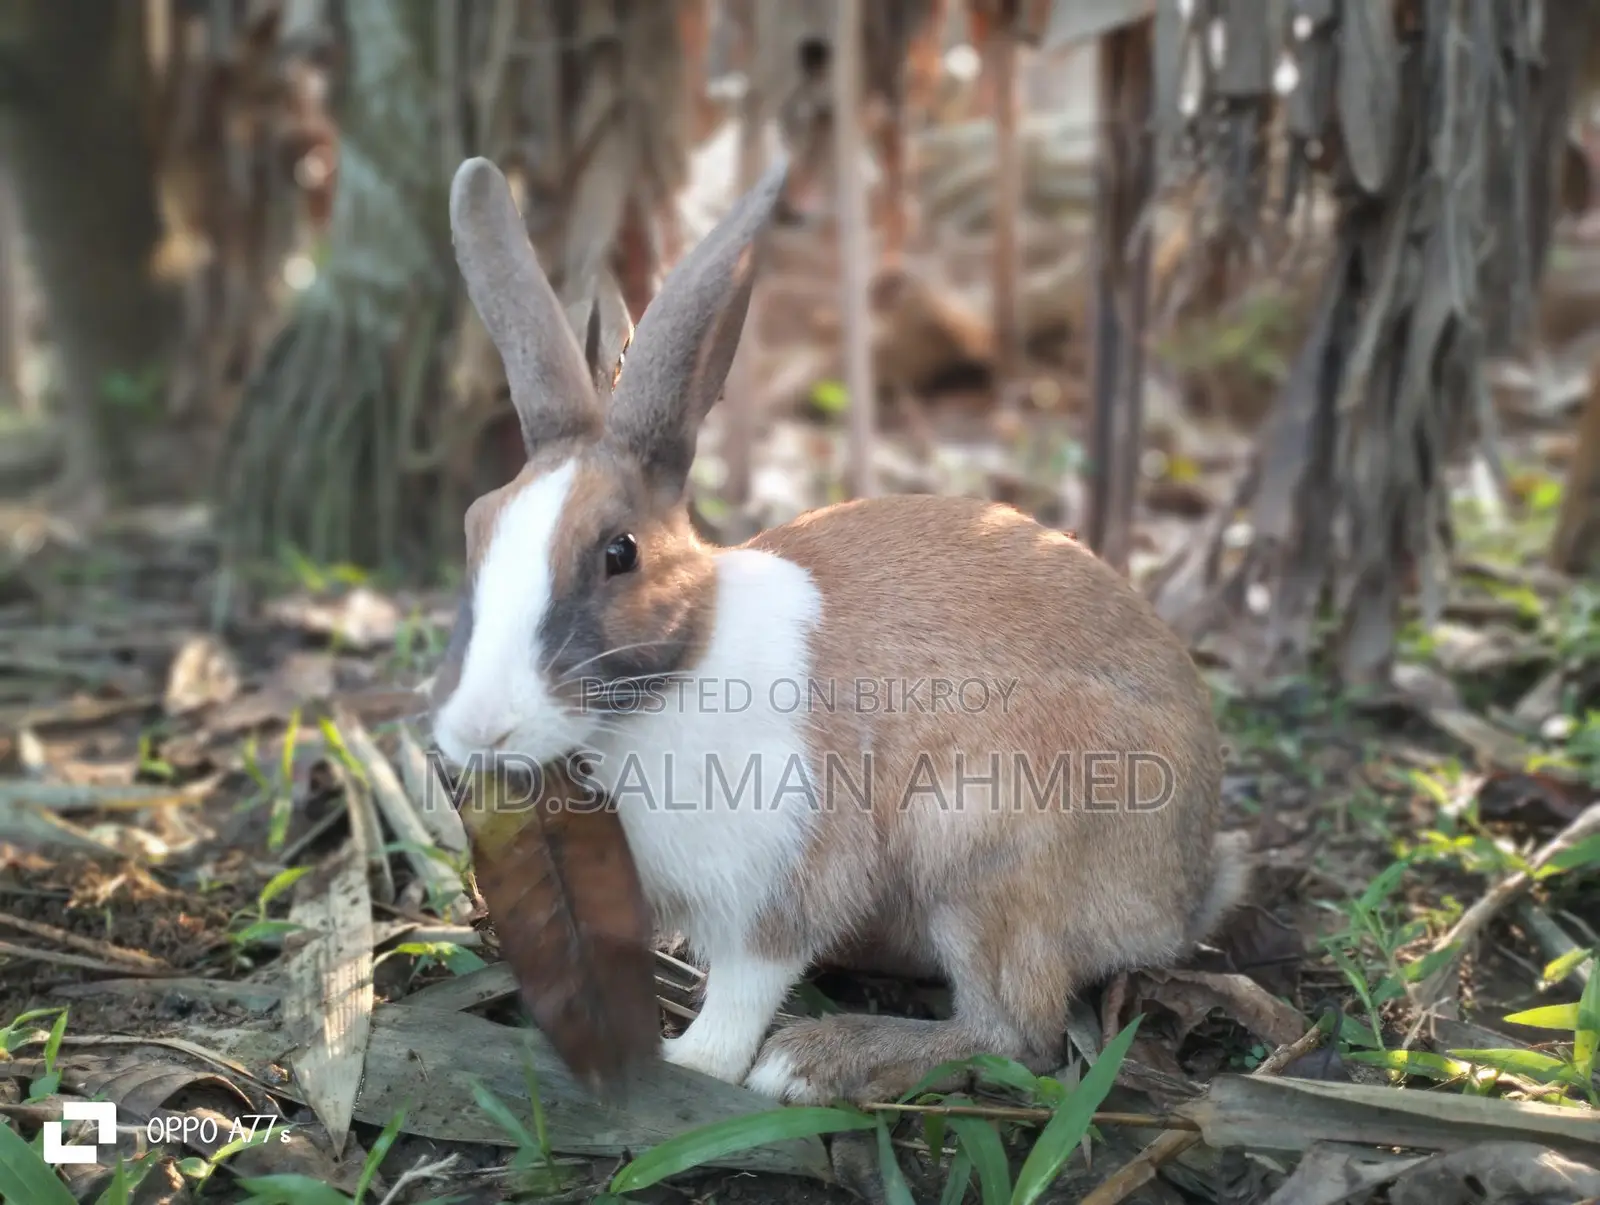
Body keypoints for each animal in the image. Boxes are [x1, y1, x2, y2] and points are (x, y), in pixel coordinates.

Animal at [428, 154, 1250, 1105]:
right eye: (474, 525)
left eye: (618, 552)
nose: (479, 729)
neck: (674, 675)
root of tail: (1181, 891)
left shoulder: (785, 882)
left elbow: (747, 987)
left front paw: (696, 1066)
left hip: (981, 850)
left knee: (1016, 1032)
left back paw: (819, 1059)